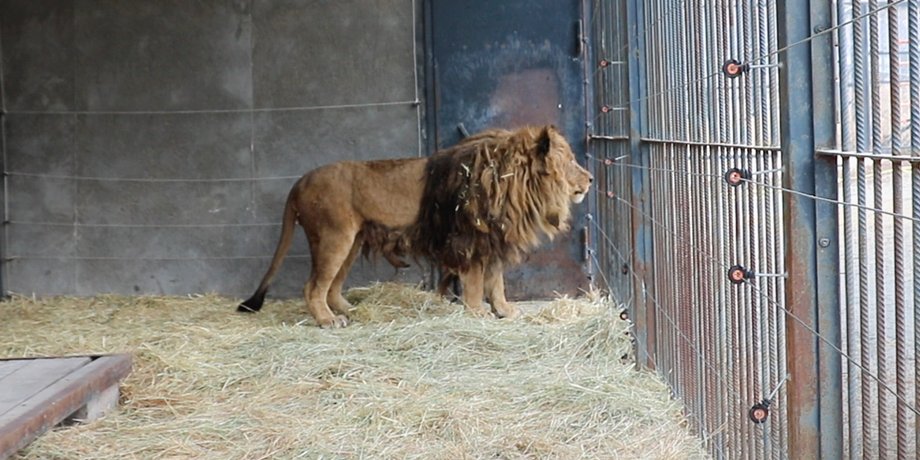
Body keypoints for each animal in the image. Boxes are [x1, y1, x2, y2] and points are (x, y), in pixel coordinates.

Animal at [237, 125, 592, 327]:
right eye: (571, 161)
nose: (590, 178)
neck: (514, 182)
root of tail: (299, 182)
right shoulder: (469, 240)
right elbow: (477, 283)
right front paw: (477, 312)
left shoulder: (491, 241)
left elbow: (496, 282)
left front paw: (504, 311)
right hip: (333, 238)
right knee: (313, 287)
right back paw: (328, 321)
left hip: (351, 241)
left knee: (333, 286)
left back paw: (351, 311)